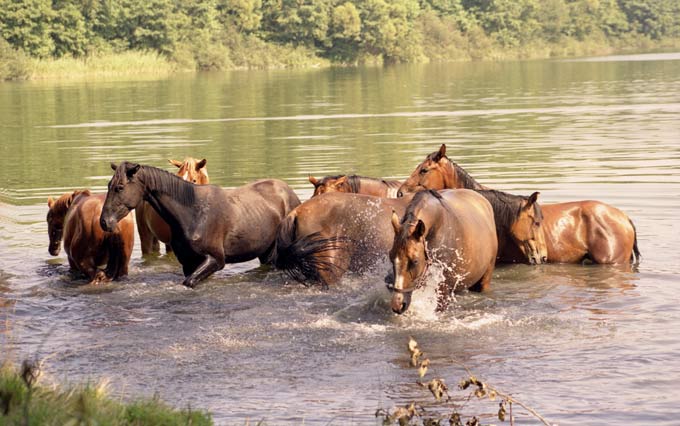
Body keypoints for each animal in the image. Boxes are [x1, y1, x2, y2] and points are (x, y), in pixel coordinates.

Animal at [99, 161, 300, 288]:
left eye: (120, 187)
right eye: (109, 185)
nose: (104, 222)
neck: (192, 213)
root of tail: (289, 193)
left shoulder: (216, 259)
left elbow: (189, 282)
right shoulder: (188, 262)